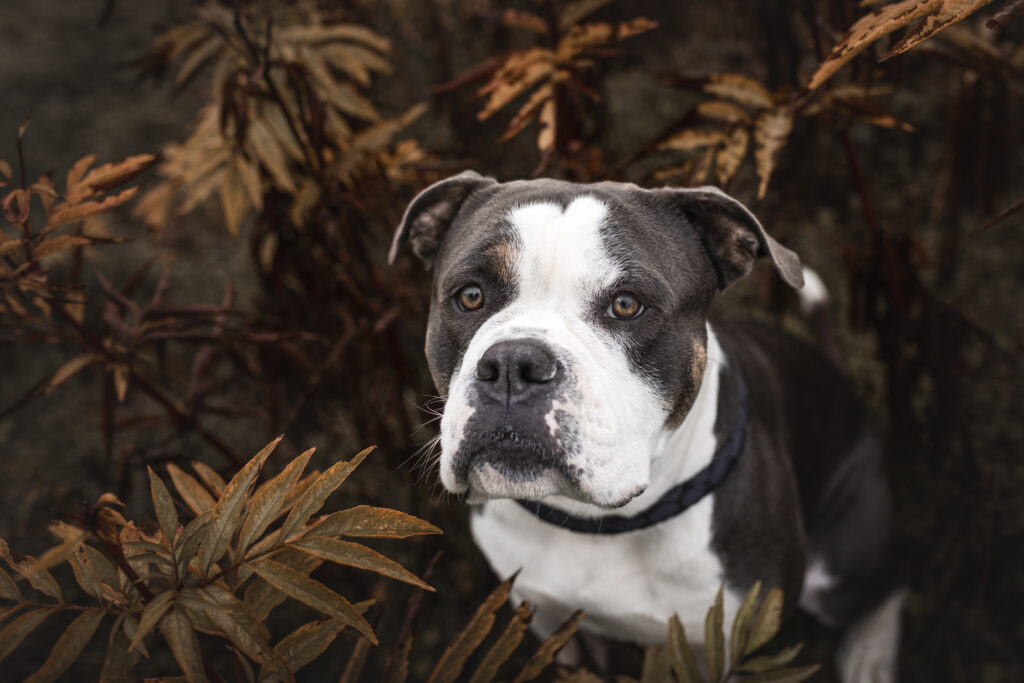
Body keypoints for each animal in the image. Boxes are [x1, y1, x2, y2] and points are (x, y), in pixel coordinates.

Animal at [389, 174, 905, 679]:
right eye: (470, 296)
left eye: (625, 304)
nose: (514, 365)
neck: (603, 526)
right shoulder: (552, 624)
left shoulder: (743, 643)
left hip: (841, 569)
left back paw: (871, 656)